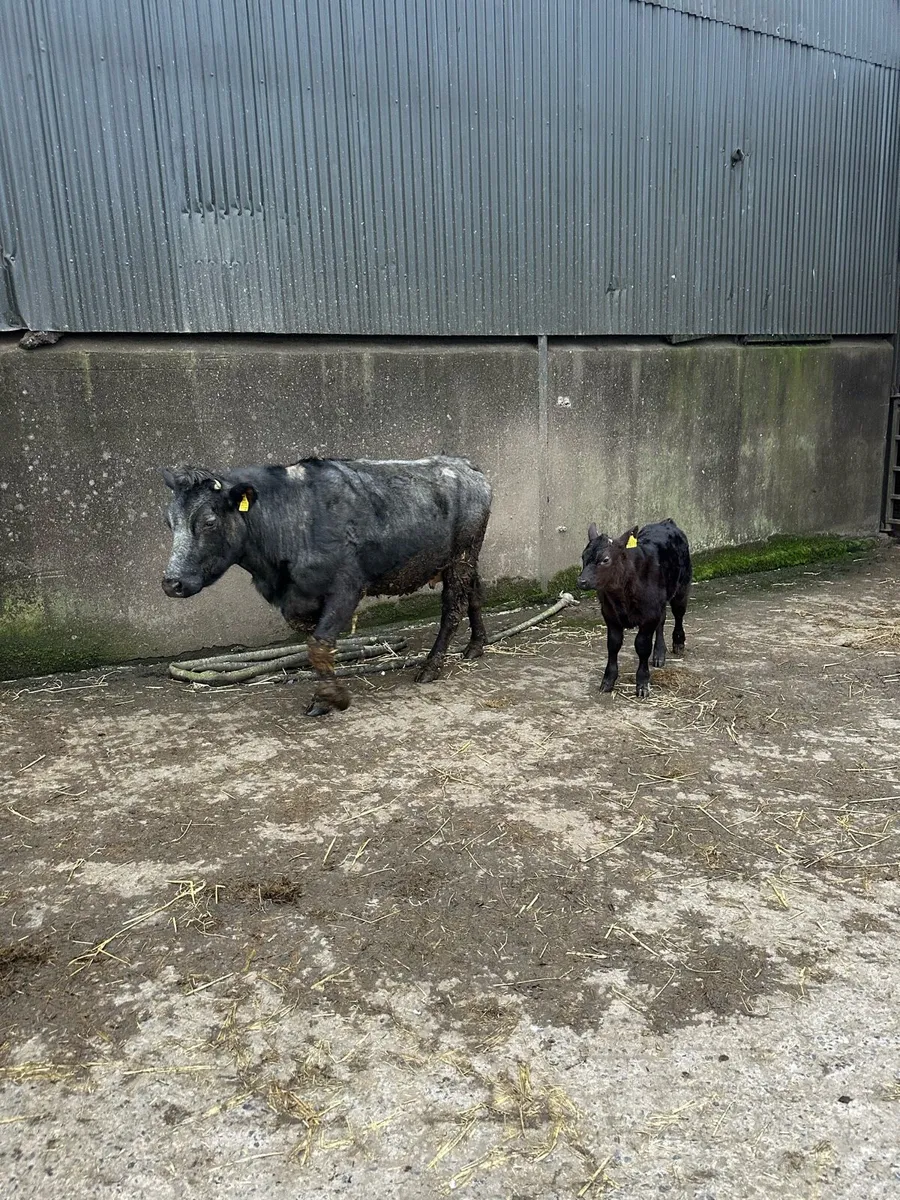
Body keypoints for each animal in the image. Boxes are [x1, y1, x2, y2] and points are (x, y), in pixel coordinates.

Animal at [162, 455, 492, 716]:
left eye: (209, 522)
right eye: (169, 522)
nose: (171, 583)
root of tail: (466, 466)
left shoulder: (346, 587)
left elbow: (319, 645)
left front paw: (332, 699)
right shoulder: (299, 600)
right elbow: (315, 646)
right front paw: (325, 694)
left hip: (461, 556)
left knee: (453, 607)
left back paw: (431, 667)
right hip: (464, 558)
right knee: (475, 592)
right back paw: (476, 646)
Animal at [576, 518, 692, 698]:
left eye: (605, 559)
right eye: (583, 556)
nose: (582, 581)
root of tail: (666, 522)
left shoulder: (649, 615)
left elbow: (642, 646)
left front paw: (642, 684)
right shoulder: (610, 615)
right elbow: (613, 645)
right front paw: (608, 681)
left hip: (682, 586)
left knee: (678, 614)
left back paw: (678, 643)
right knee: (662, 621)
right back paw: (659, 654)